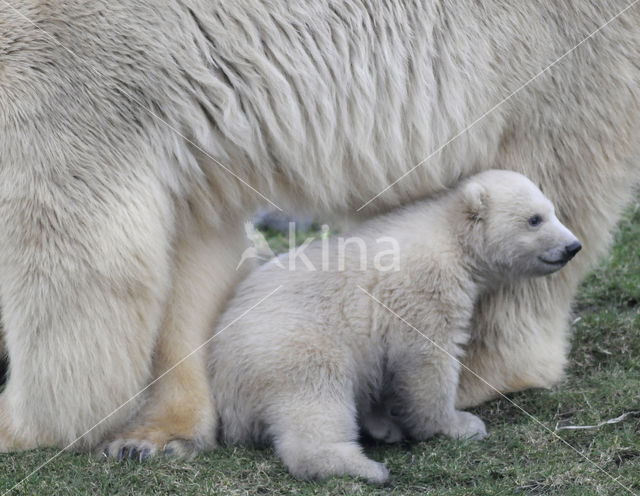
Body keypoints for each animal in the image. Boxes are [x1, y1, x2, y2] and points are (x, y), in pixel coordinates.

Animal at [0, 0, 636, 458]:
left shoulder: (78, 68)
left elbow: (74, 250)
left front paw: (21, 425)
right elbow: (195, 241)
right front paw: (153, 435)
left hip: (548, 56)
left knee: (556, 166)